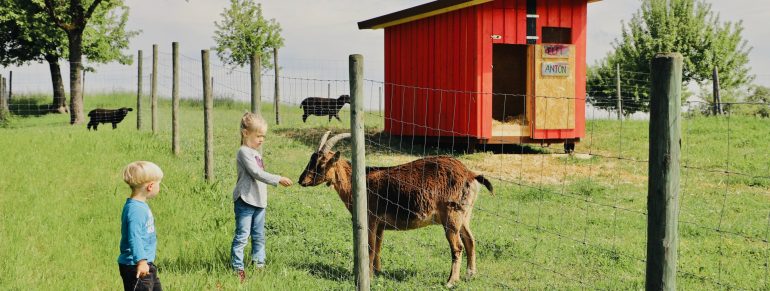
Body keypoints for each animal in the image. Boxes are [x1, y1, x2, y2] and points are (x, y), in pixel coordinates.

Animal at [296, 133, 496, 290]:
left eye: (322, 164)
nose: (301, 180)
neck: (358, 183)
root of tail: (470, 174)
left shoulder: (371, 219)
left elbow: (370, 247)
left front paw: (369, 275)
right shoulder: (381, 225)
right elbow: (378, 246)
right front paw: (378, 272)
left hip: (451, 216)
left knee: (458, 247)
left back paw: (451, 281)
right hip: (464, 215)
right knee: (470, 240)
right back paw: (470, 275)